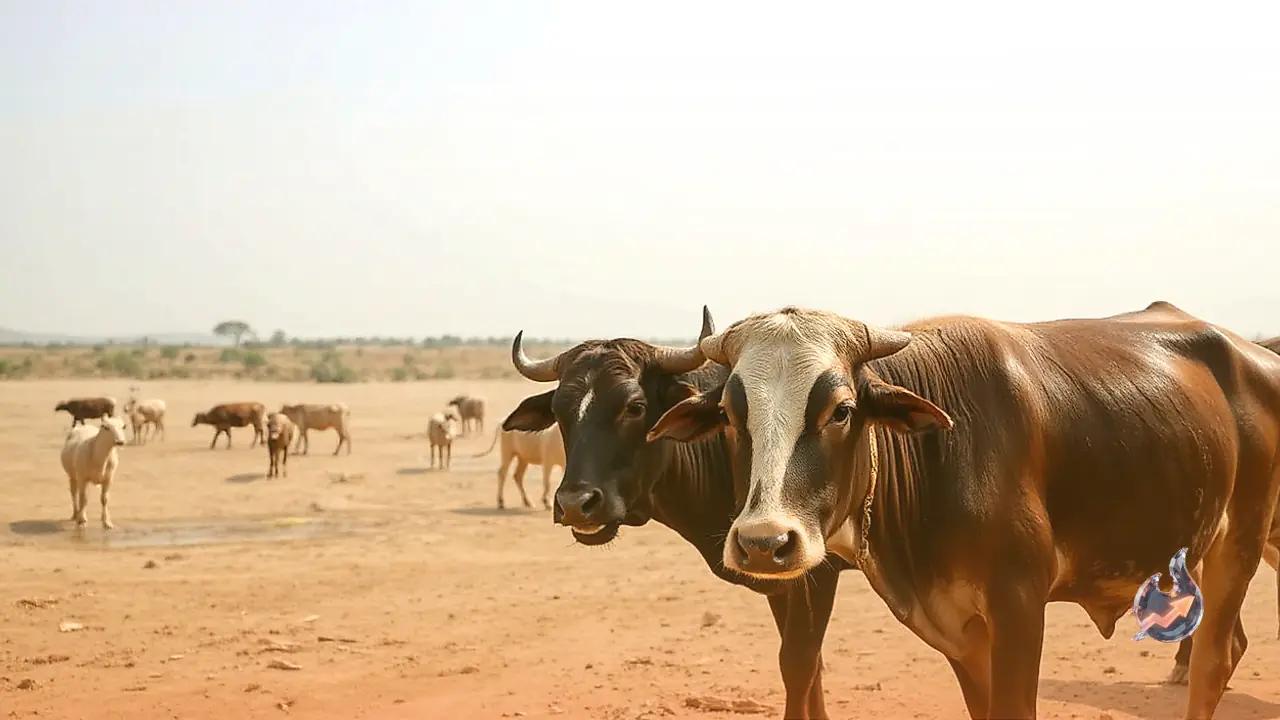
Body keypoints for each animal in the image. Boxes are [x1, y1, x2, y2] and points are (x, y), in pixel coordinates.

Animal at [502, 307, 847, 720]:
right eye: (558, 412)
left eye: (634, 407)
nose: (575, 504)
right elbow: (810, 666)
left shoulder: (817, 571)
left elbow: (800, 663)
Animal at [646, 302, 1280, 720]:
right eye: (728, 415)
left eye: (842, 411)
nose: (764, 543)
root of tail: (1254, 353)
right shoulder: (960, 632)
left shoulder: (1020, 607)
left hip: (1240, 544)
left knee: (1214, 661)